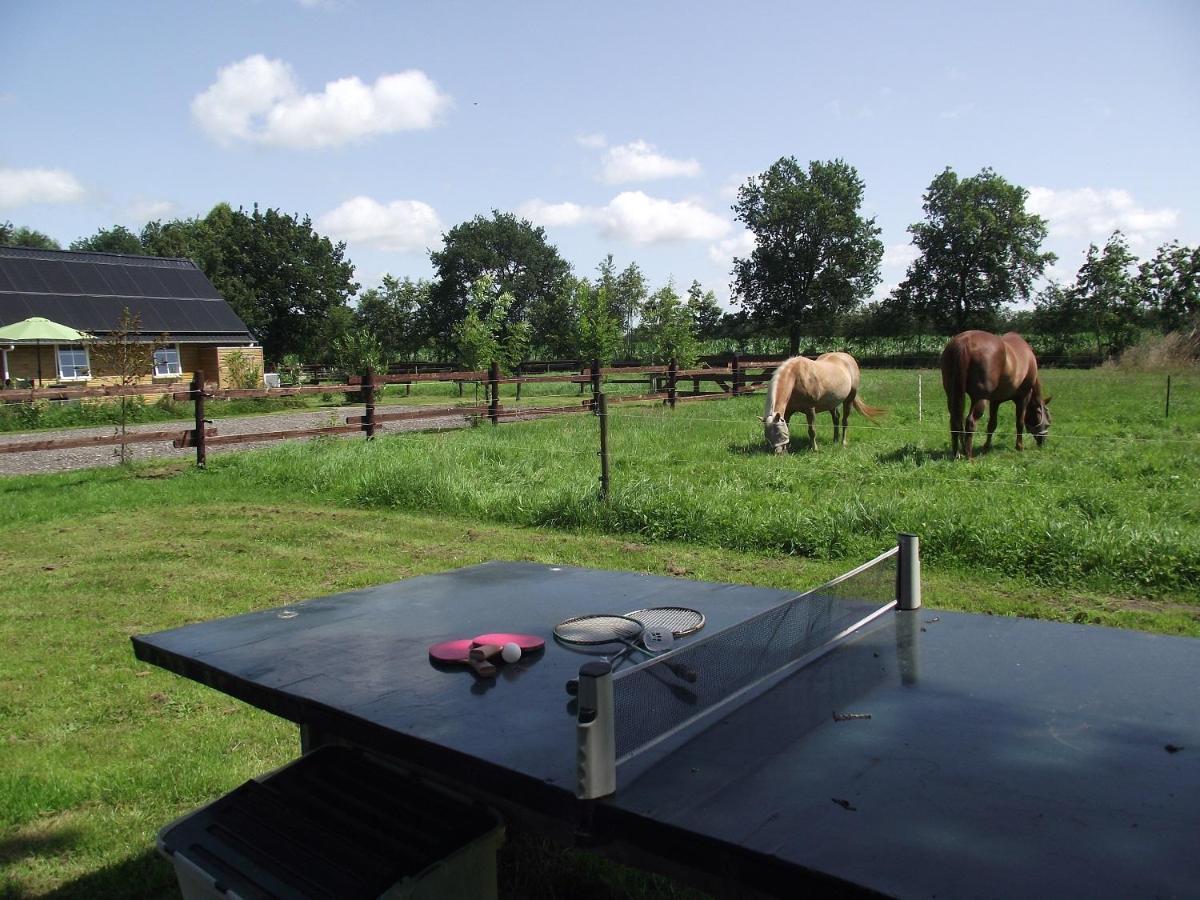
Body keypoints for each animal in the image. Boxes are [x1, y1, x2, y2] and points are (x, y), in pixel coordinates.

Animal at [936, 328, 1051, 460]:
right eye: (1048, 420)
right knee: (970, 422)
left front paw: (986, 447)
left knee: (955, 421)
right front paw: (1019, 447)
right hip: (979, 398)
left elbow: (992, 424)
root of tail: (964, 342)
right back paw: (969, 456)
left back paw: (957, 453)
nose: (1042, 442)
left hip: (952, 395)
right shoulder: (1023, 397)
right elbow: (1020, 422)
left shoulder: (995, 401)